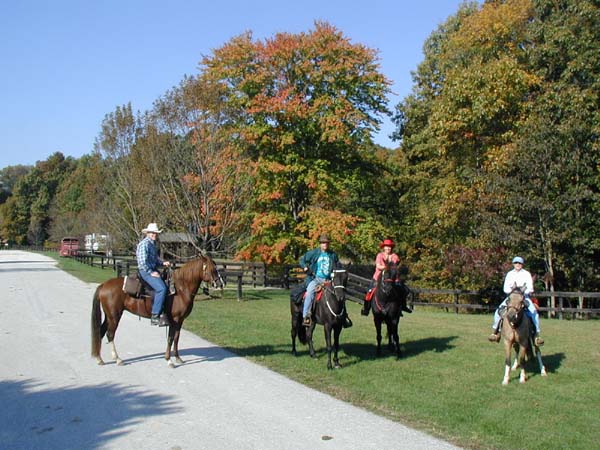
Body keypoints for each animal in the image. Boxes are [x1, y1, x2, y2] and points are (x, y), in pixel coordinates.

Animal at [92, 255, 224, 368]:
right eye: (213, 269)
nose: (221, 283)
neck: (181, 290)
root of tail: (103, 285)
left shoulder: (180, 320)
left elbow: (177, 337)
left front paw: (178, 358)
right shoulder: (174, 320)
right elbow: (170, 338)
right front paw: (169, 360)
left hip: (109, 316)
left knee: (101, 331)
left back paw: (99, 358)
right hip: (114, 316)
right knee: (110, 334)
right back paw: (117, 359)